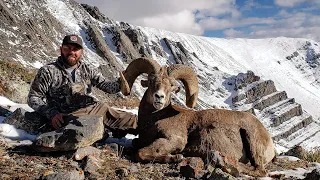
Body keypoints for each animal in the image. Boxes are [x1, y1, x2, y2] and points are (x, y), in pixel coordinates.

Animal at [120, 57, 276, 176]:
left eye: (171, 85)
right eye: (151, 81)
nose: (159, 97)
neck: (153, 121)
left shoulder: (174, 140)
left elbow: (141, 153)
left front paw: (177, 157)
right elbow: (136, 145)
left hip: (252, 140)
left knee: (260, 170)